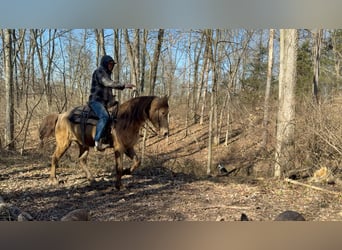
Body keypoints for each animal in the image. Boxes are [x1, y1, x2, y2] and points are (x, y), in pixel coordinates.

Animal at [42, 95, 170, 189]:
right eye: (163, 113)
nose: (166, 133)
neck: (125, 119)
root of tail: (60, 115)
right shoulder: (119, 148)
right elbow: (119, 167)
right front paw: (119, 185)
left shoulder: (128, 147)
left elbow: (137, 162)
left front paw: (127, 171)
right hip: (64, 144)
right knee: (55, 158)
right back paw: (53, 179)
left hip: (83, 145)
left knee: (81, 160)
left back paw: (91, 179)